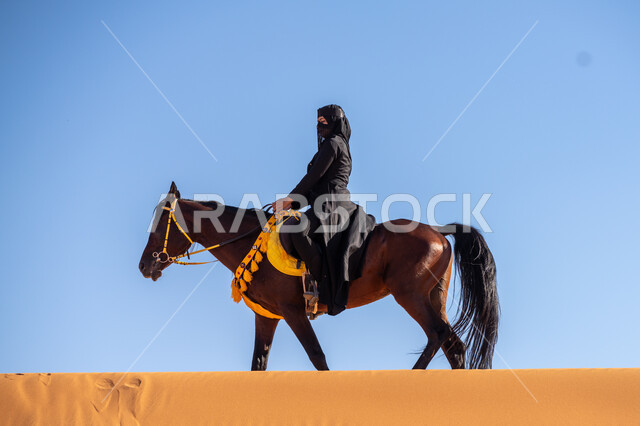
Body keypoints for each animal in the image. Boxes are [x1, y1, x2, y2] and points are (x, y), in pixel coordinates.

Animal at [139, 182, 499, 371]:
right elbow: (258, 364)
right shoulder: (267, 317)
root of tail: (439, 231)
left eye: (161, 223)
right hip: (432, 298)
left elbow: (317, 357)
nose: (144, 266)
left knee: (439, 336)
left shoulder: (294, 312)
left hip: (410, 296)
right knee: (454, 345)